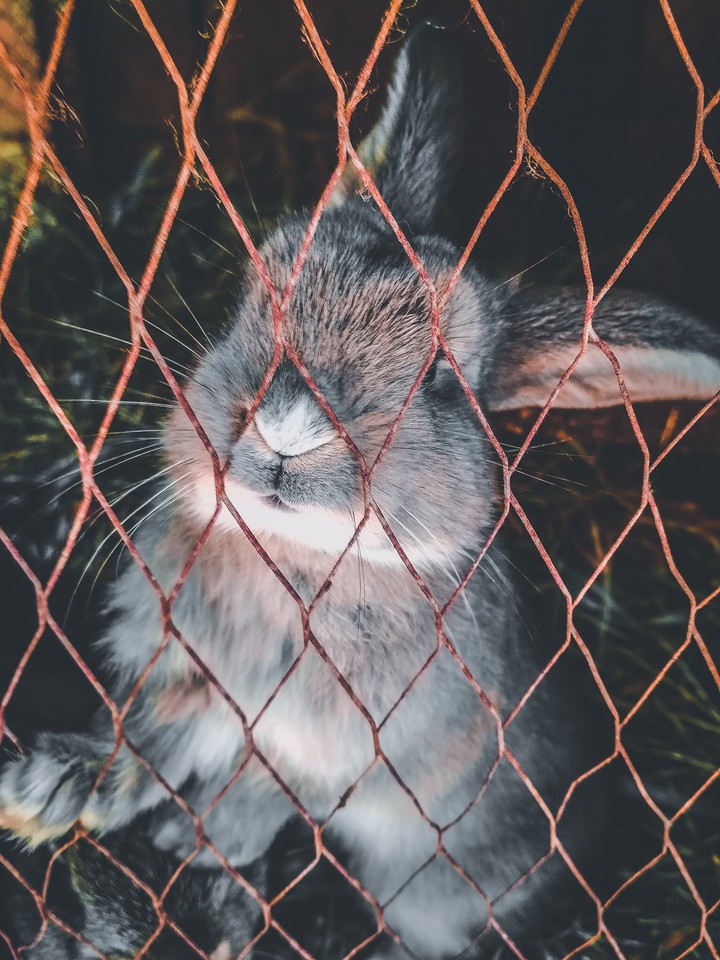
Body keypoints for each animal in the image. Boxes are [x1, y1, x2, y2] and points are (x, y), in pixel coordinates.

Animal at [2, 22, 720, 960]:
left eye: (442, 377)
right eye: (261, 292)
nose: (286, 431)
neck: (296, 561)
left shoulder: (343, 753)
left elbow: (264, 792)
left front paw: (203, 846)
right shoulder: (197, 677)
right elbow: (152, 733)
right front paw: (48, 794)